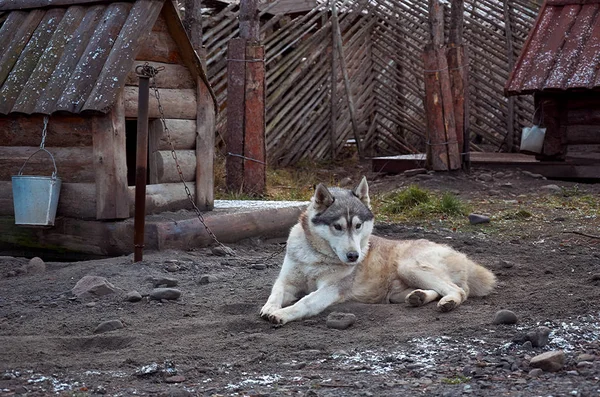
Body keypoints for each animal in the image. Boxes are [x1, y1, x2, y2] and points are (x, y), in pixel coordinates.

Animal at [258, 177, 496, 324]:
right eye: (337, 226)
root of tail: (463, 257)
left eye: (358, 225)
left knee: (459, 291)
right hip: (397, 291)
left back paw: (448, 302)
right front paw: (270, 308)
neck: (315, 258)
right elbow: (275, 292)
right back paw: (418, 297)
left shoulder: (331, 289)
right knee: (438, 290)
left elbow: (305, 301)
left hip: (409, 267)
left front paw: (282, 314)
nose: (354, 256)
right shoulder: (287, 281)